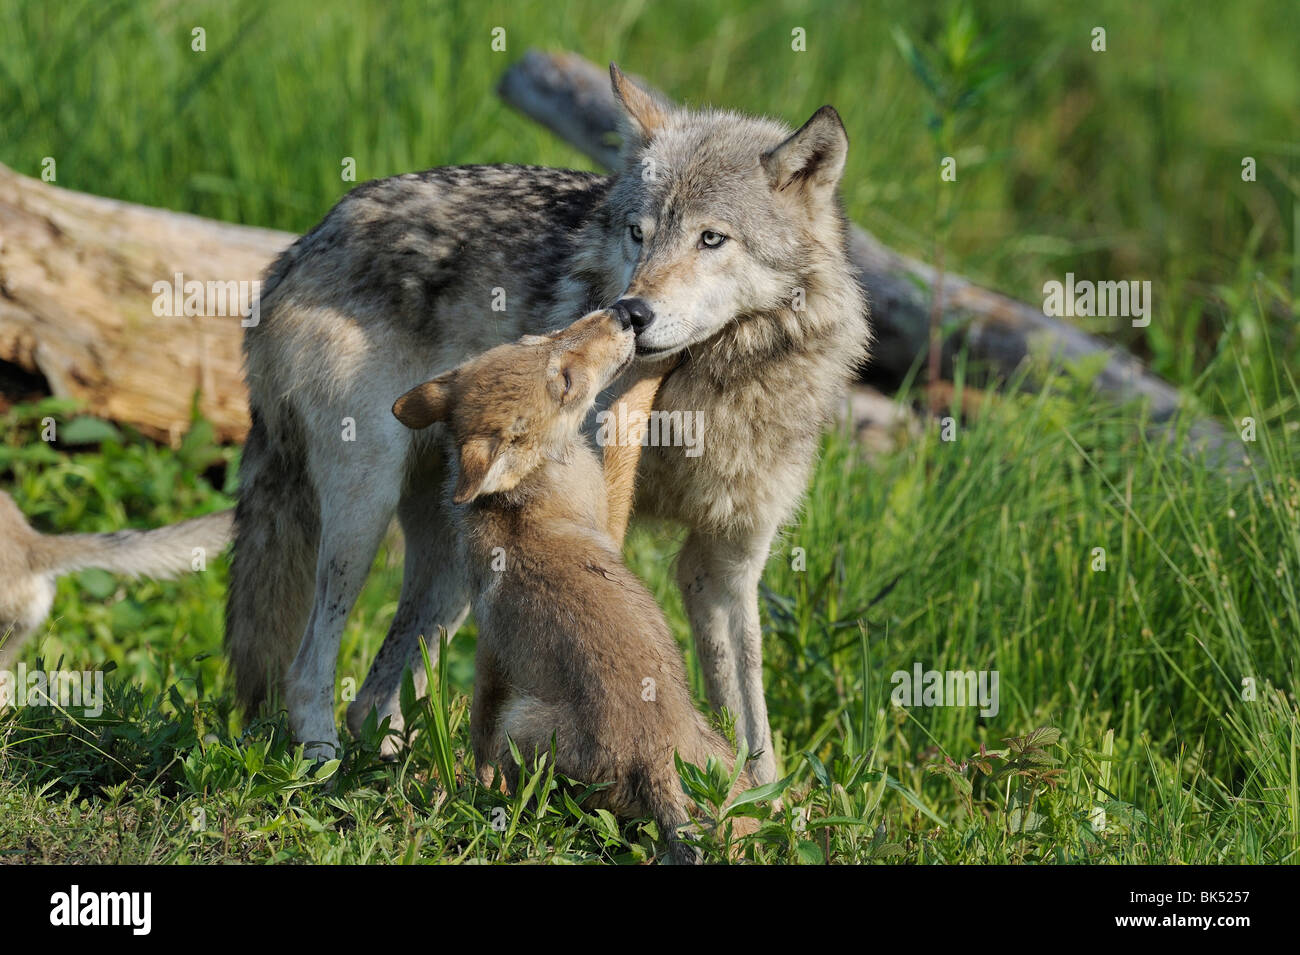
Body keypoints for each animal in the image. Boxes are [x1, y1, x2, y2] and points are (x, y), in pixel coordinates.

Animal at [227, 65, 868, 784]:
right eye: (637, 233)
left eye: (712, 238)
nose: (632, 311)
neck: (712, 389)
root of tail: (300, 245)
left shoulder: (725, 560)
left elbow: (753, 722)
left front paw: (765, 800)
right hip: (363, 517)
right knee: (309, 666)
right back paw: (323, 766)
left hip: (455, 556)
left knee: (375, 695)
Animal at [395, 307, 754, 867]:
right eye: (564, 383)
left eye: (536, 337)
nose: (625, 313)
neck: (519, 500)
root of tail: (653, 759)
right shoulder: (608, 518)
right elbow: (626, 419)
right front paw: (656, 366)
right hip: (523, 724)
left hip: (720, 762)